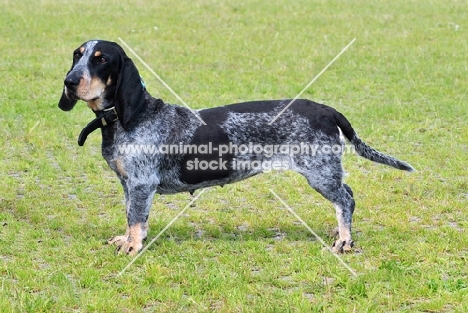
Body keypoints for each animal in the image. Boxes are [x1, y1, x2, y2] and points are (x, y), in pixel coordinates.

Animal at [57, 39, 414, 254]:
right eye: (77, 54)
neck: (127, 118)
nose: (69, 82)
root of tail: (326, 109)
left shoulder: (142, 184)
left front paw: (132, 247)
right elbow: (134, 217)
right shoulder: (130, 185)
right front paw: (130, 239)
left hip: (321, 174)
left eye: (101, 60)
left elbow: (135, 218)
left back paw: (344, 240)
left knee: (346, 199)